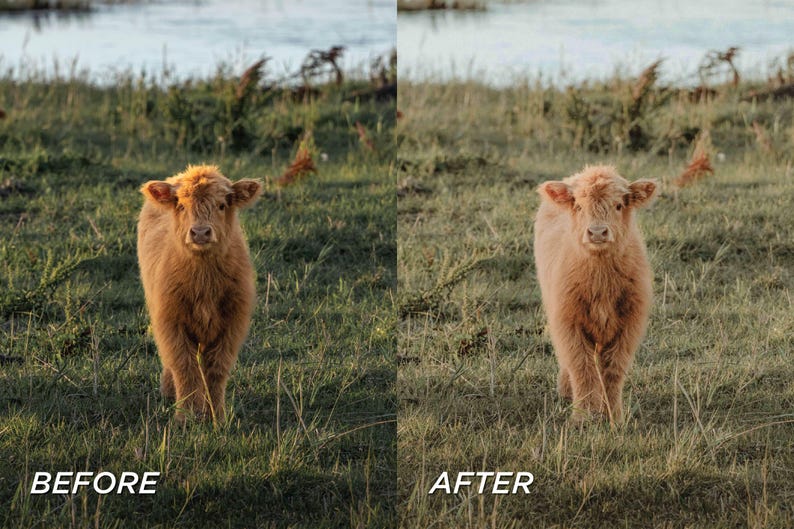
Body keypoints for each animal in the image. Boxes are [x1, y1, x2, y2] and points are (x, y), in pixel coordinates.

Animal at [137, 165, 261, 423]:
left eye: (221, 205)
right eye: (181, 205)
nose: (201, 233)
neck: (204, 283)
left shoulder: (232, 324)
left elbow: (217, 369)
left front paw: (216, 416)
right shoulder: (170, 323)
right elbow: (184, 367)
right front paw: (186, 416)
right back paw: (168, 392)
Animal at [533, 165, 656, 423]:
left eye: (618, 205)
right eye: (579, 206)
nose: (597, 232)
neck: (601, 282)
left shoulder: (629, 325)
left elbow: (613, 369)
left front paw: (613, 416)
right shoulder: (568, 322)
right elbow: (581, 366)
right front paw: (583, 416)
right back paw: (566, 391)